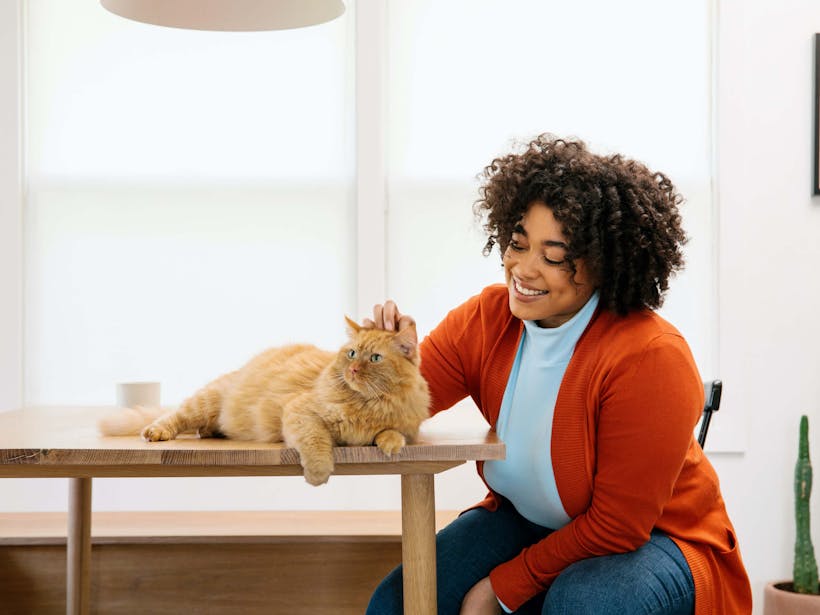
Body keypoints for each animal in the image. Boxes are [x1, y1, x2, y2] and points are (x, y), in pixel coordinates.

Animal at [97, 318, 430, 486]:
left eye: (374, 358)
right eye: (351, 354)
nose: (353, 371)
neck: (366, 404)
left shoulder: (405, 424)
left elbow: (393, 432)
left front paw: (390, 443)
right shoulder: (301, 413)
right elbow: (316, 442)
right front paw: (319, 473)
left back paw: (211, 432)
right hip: (204, 403)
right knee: (174, 417)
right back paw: (158, 432)